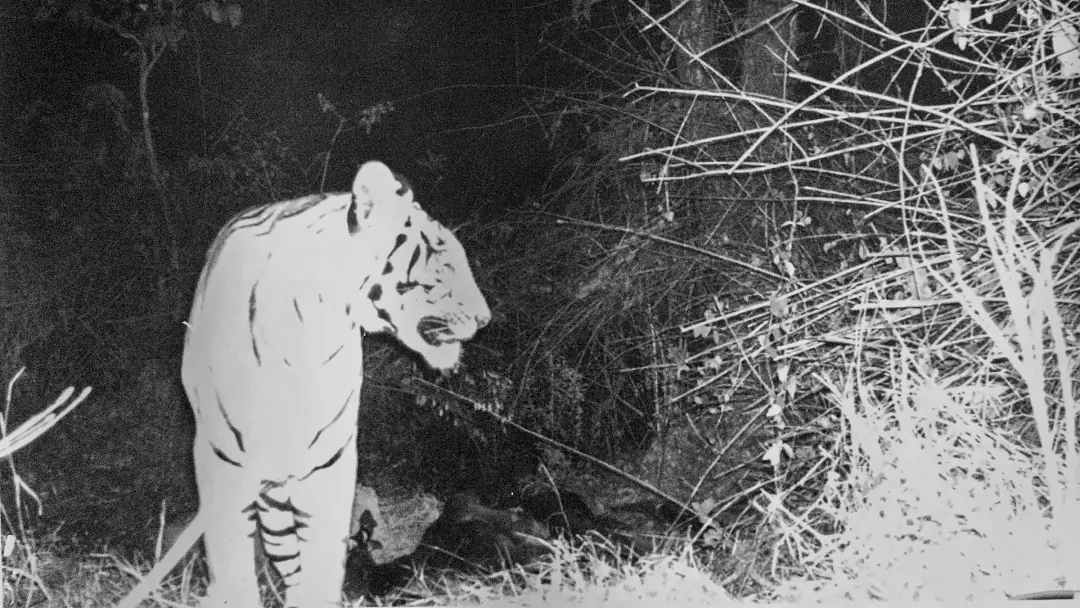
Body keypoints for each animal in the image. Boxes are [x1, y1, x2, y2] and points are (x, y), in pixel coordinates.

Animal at [118, 160, 490, 608]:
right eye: (442, 258)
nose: (486, 318)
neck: (308, 339)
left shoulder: (331, 460)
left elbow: (323, 561)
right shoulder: (221, 461)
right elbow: (232, 563)